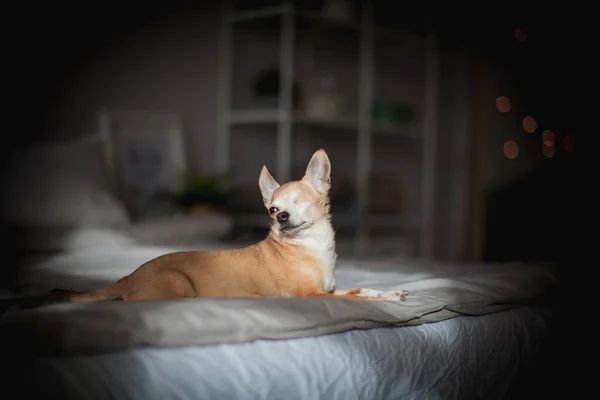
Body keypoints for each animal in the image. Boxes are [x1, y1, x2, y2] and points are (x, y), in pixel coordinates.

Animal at [52, 150, 408, 304]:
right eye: (273, 209)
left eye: (299, 203)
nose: (281, 217)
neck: (310, 247)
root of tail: (129, 276)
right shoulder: (312, 295)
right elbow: (357, 297)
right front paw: (385, 298)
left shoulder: (329, 289)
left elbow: (357, 289)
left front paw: (390, 291)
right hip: (179, 284)